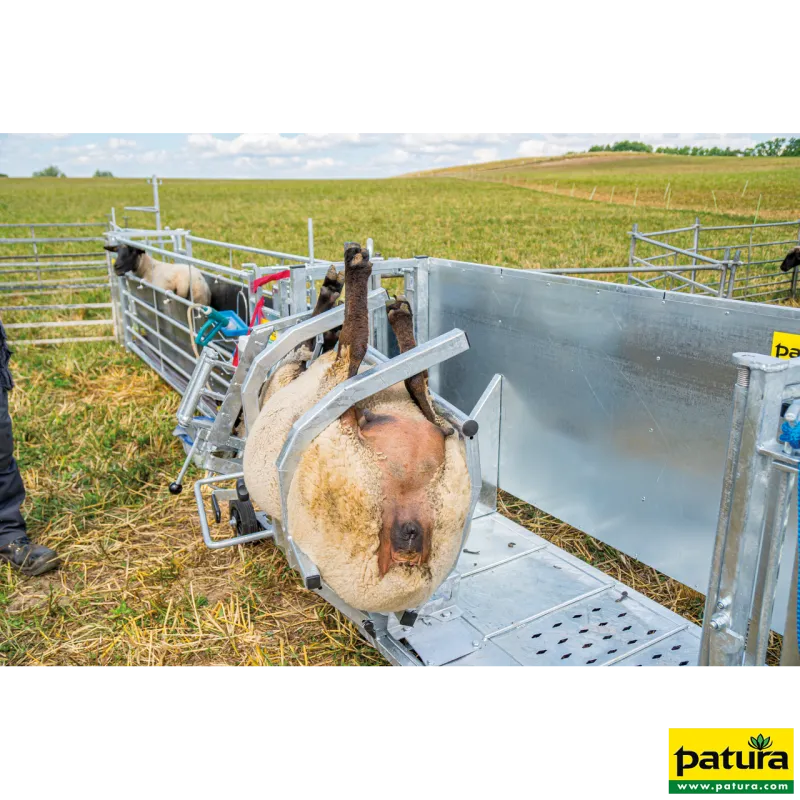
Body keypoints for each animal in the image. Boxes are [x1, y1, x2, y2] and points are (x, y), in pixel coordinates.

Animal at [243, 245, 471, 613]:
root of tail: (405, 563)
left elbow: (313, 338)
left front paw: (328, 294)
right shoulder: (306, 374)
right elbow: (321, 344)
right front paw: (331, 292)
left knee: (424, 404)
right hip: (346, 457)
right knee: (361, 354)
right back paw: (363, 277)